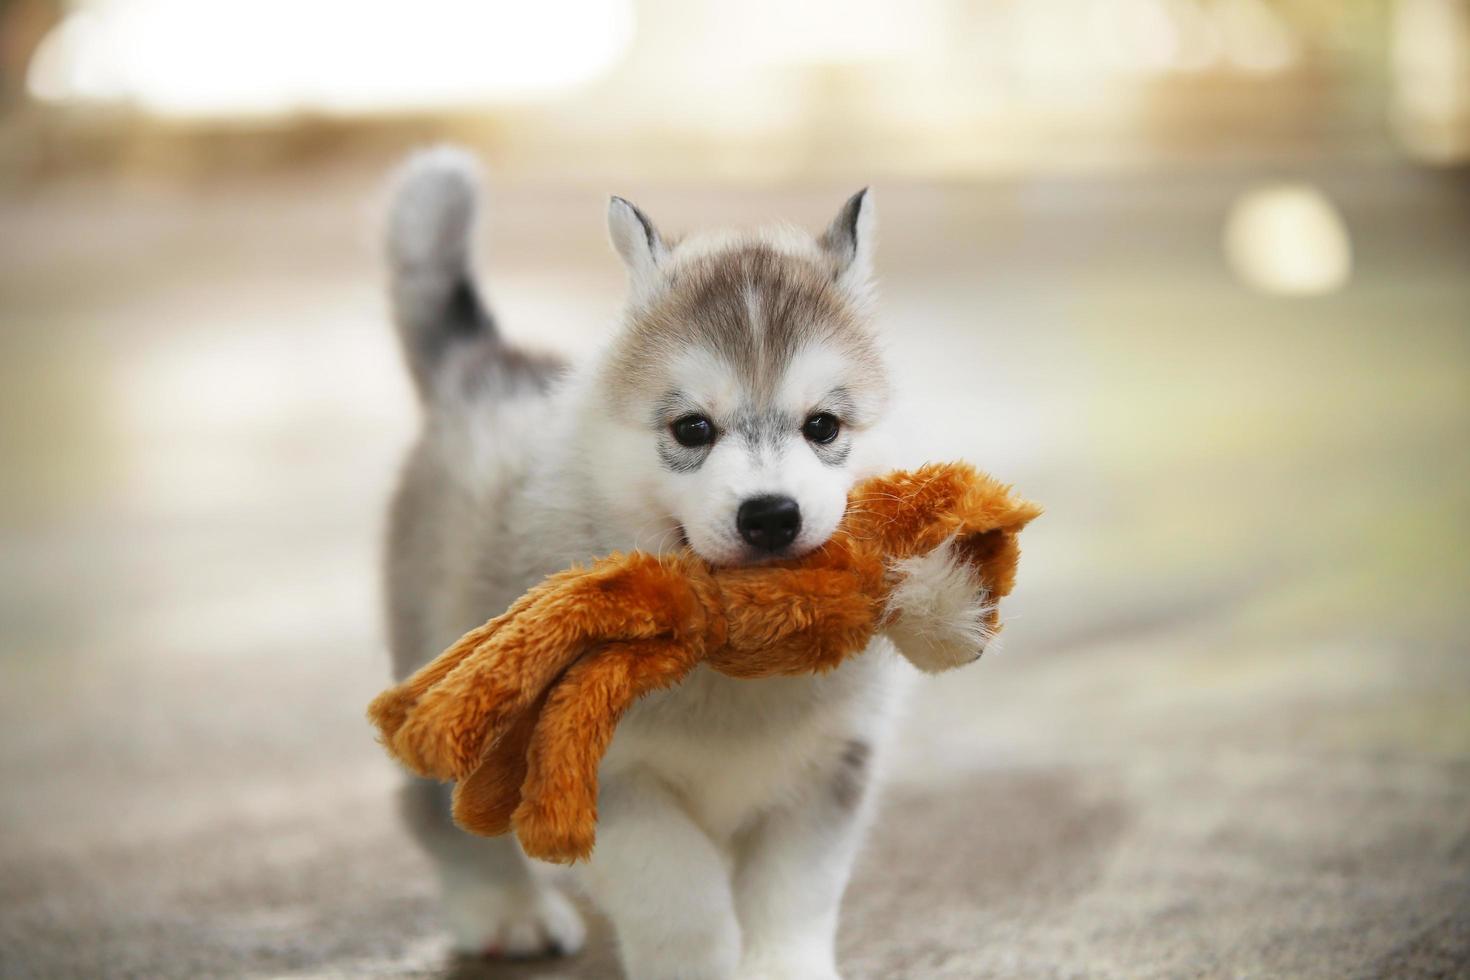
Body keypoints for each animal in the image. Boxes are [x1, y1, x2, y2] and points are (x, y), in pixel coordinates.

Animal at [385, 147, 993, 980]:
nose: (770, 515)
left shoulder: (829, 769)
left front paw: (782, 966)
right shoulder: (611, 776)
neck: (738, 665)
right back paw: (505, 911)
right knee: (433, 812)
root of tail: (482, 365)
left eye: (823, 426)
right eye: (693, 429)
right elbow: (681, 899)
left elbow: (795, 894)